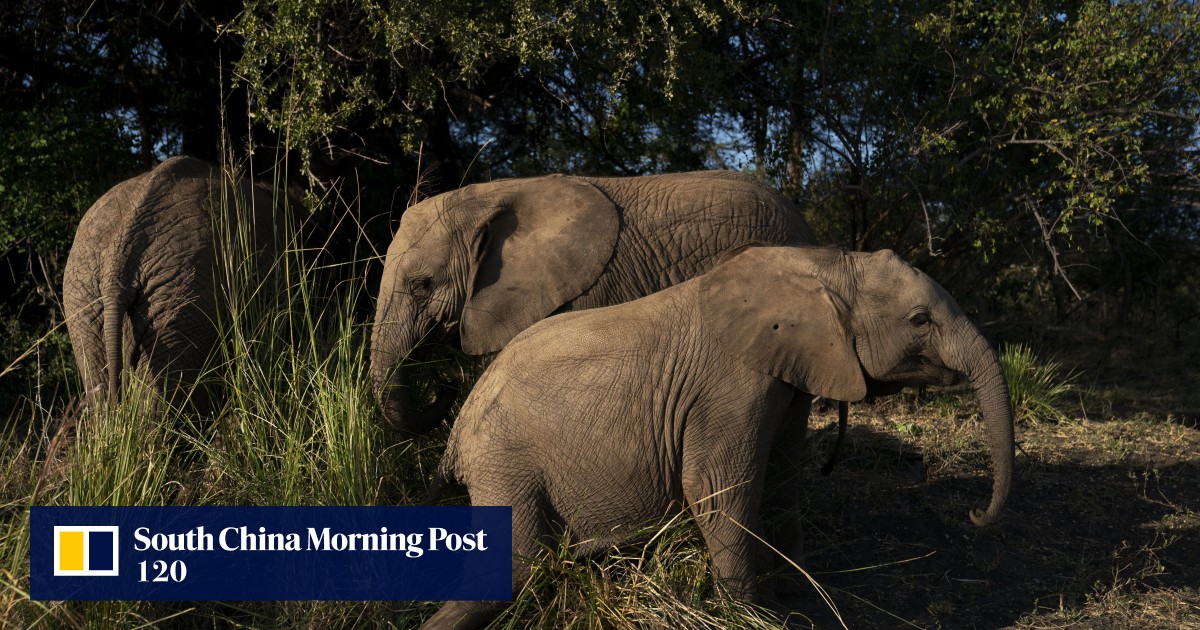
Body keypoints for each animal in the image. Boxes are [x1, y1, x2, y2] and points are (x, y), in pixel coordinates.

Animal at [421, 244, 1014, 629]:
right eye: (919, 320)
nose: (976, 516)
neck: (823, 265)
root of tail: (457, 434)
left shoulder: (790, 378)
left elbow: (782, 478)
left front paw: (795, 591)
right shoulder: (731, 385)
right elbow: (718, 490)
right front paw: (754, 615)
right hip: (504, 458)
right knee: (516, 568)